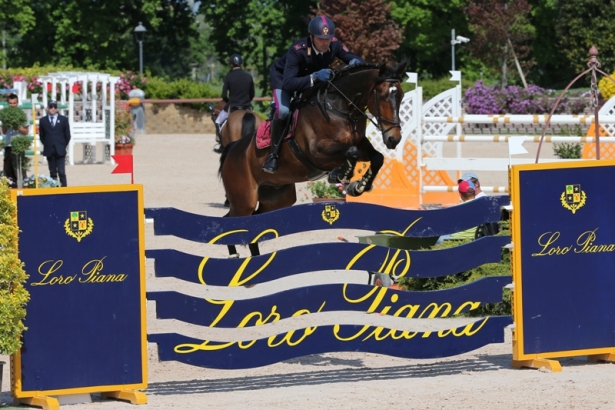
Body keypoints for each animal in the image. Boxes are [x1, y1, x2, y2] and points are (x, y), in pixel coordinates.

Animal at [219, 60, 406, 218]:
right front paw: (341, 175)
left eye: (401, 96)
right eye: (382, 96)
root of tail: (233, 149)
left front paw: (360, 186)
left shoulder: (359, 144)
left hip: (276, 198)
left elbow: (377, 157)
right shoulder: (318, 151)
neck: (339, 108)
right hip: (244, 201)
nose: (394, 138)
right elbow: (350, 152)